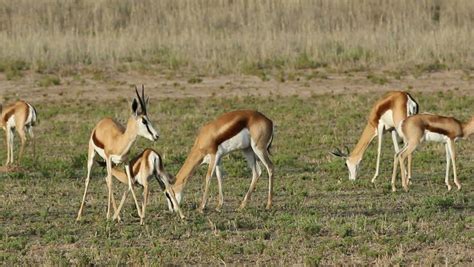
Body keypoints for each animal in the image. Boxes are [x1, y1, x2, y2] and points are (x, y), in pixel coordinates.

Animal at [76, 87, 159, 223]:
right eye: (143, 121)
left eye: (149, 119)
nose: (156, 136)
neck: (119, 141)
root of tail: (102, 121)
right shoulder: (109, 159)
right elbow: (111, 183)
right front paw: (108, 216)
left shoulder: (125, 161)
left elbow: (130, 184)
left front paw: (140, 215)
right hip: (93, 156)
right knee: (89, 180)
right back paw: (79, 216)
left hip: (114, 163)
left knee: (106, 178)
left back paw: (118, 217)